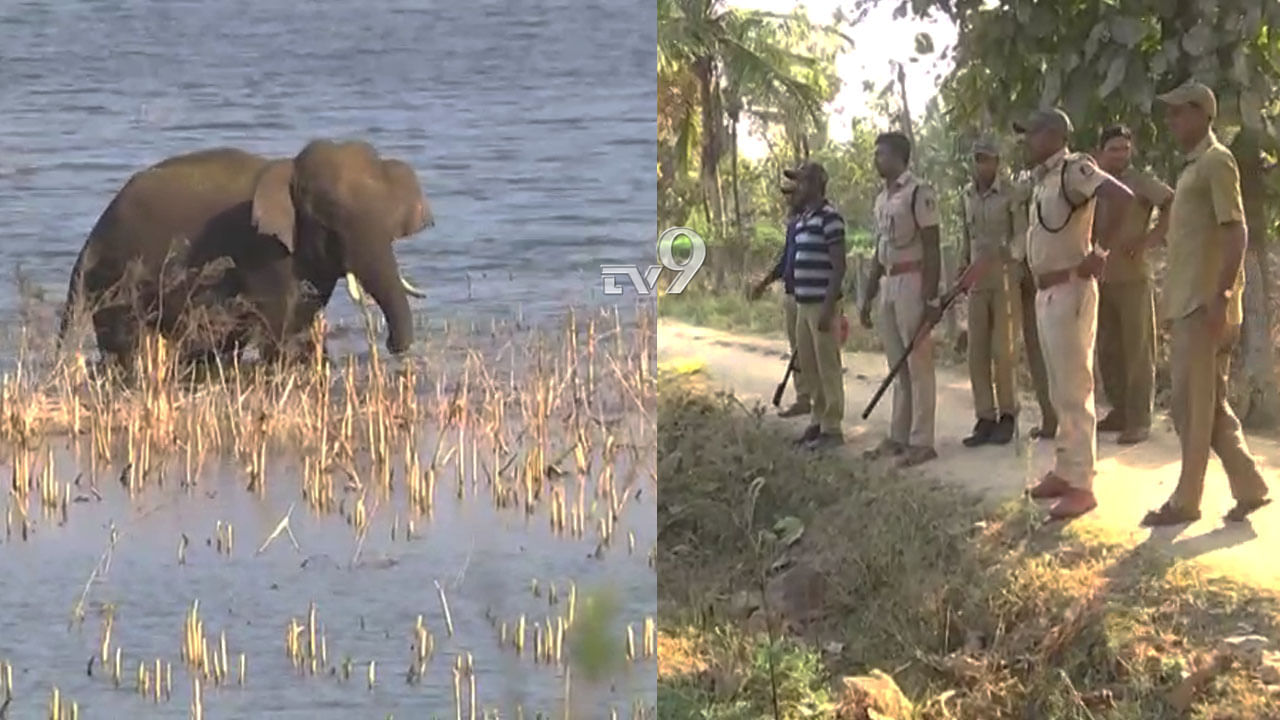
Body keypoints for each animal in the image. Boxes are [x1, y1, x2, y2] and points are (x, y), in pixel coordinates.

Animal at [57, 140, 430, 376]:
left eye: (391, 223)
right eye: (327, 219)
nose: (392, 346)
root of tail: (92, 236)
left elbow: (302, 320)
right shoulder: (263, 250)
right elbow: (281, 325)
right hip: (116, 277)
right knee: (126, 343)